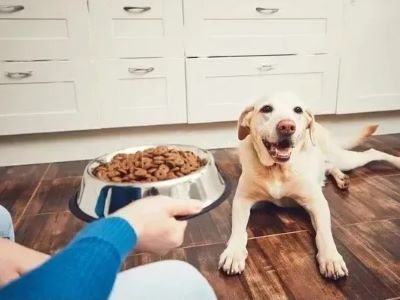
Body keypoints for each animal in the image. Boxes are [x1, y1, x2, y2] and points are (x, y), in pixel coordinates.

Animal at [219, 92, 400, 280]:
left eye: (298, 109)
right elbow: (239, 231)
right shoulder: (242, 201)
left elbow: (324, 232)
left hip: (344, 158)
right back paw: (341, 178)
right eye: (266, 108)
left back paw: (395, 162)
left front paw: (331, 258)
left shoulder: (317, 203)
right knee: (329, 166)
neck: (278, 170)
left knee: (370, 152)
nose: (287, 126)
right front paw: (233, 253)